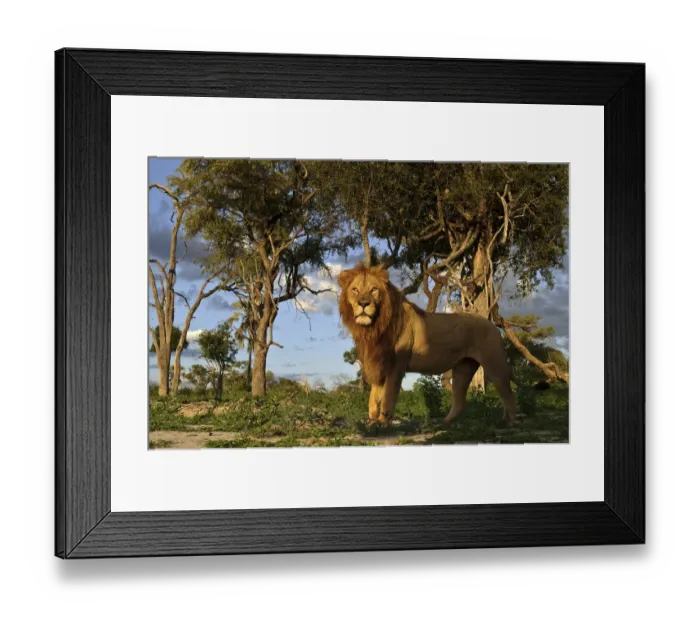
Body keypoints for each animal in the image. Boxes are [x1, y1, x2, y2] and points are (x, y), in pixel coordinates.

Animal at [338, 263, 521, 427]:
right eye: (355, 290)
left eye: (373, 290)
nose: (363, 303)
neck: (374, 327)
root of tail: (492, 324)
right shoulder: (379, 363)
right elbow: (373, 398)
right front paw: (371, 423)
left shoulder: (396, 366)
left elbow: (388, 397)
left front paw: (382, 423)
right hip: (463, 369)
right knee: (460, 401)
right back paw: (444, 425)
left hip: (494, 364)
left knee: (508, 393)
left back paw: (508, 422)